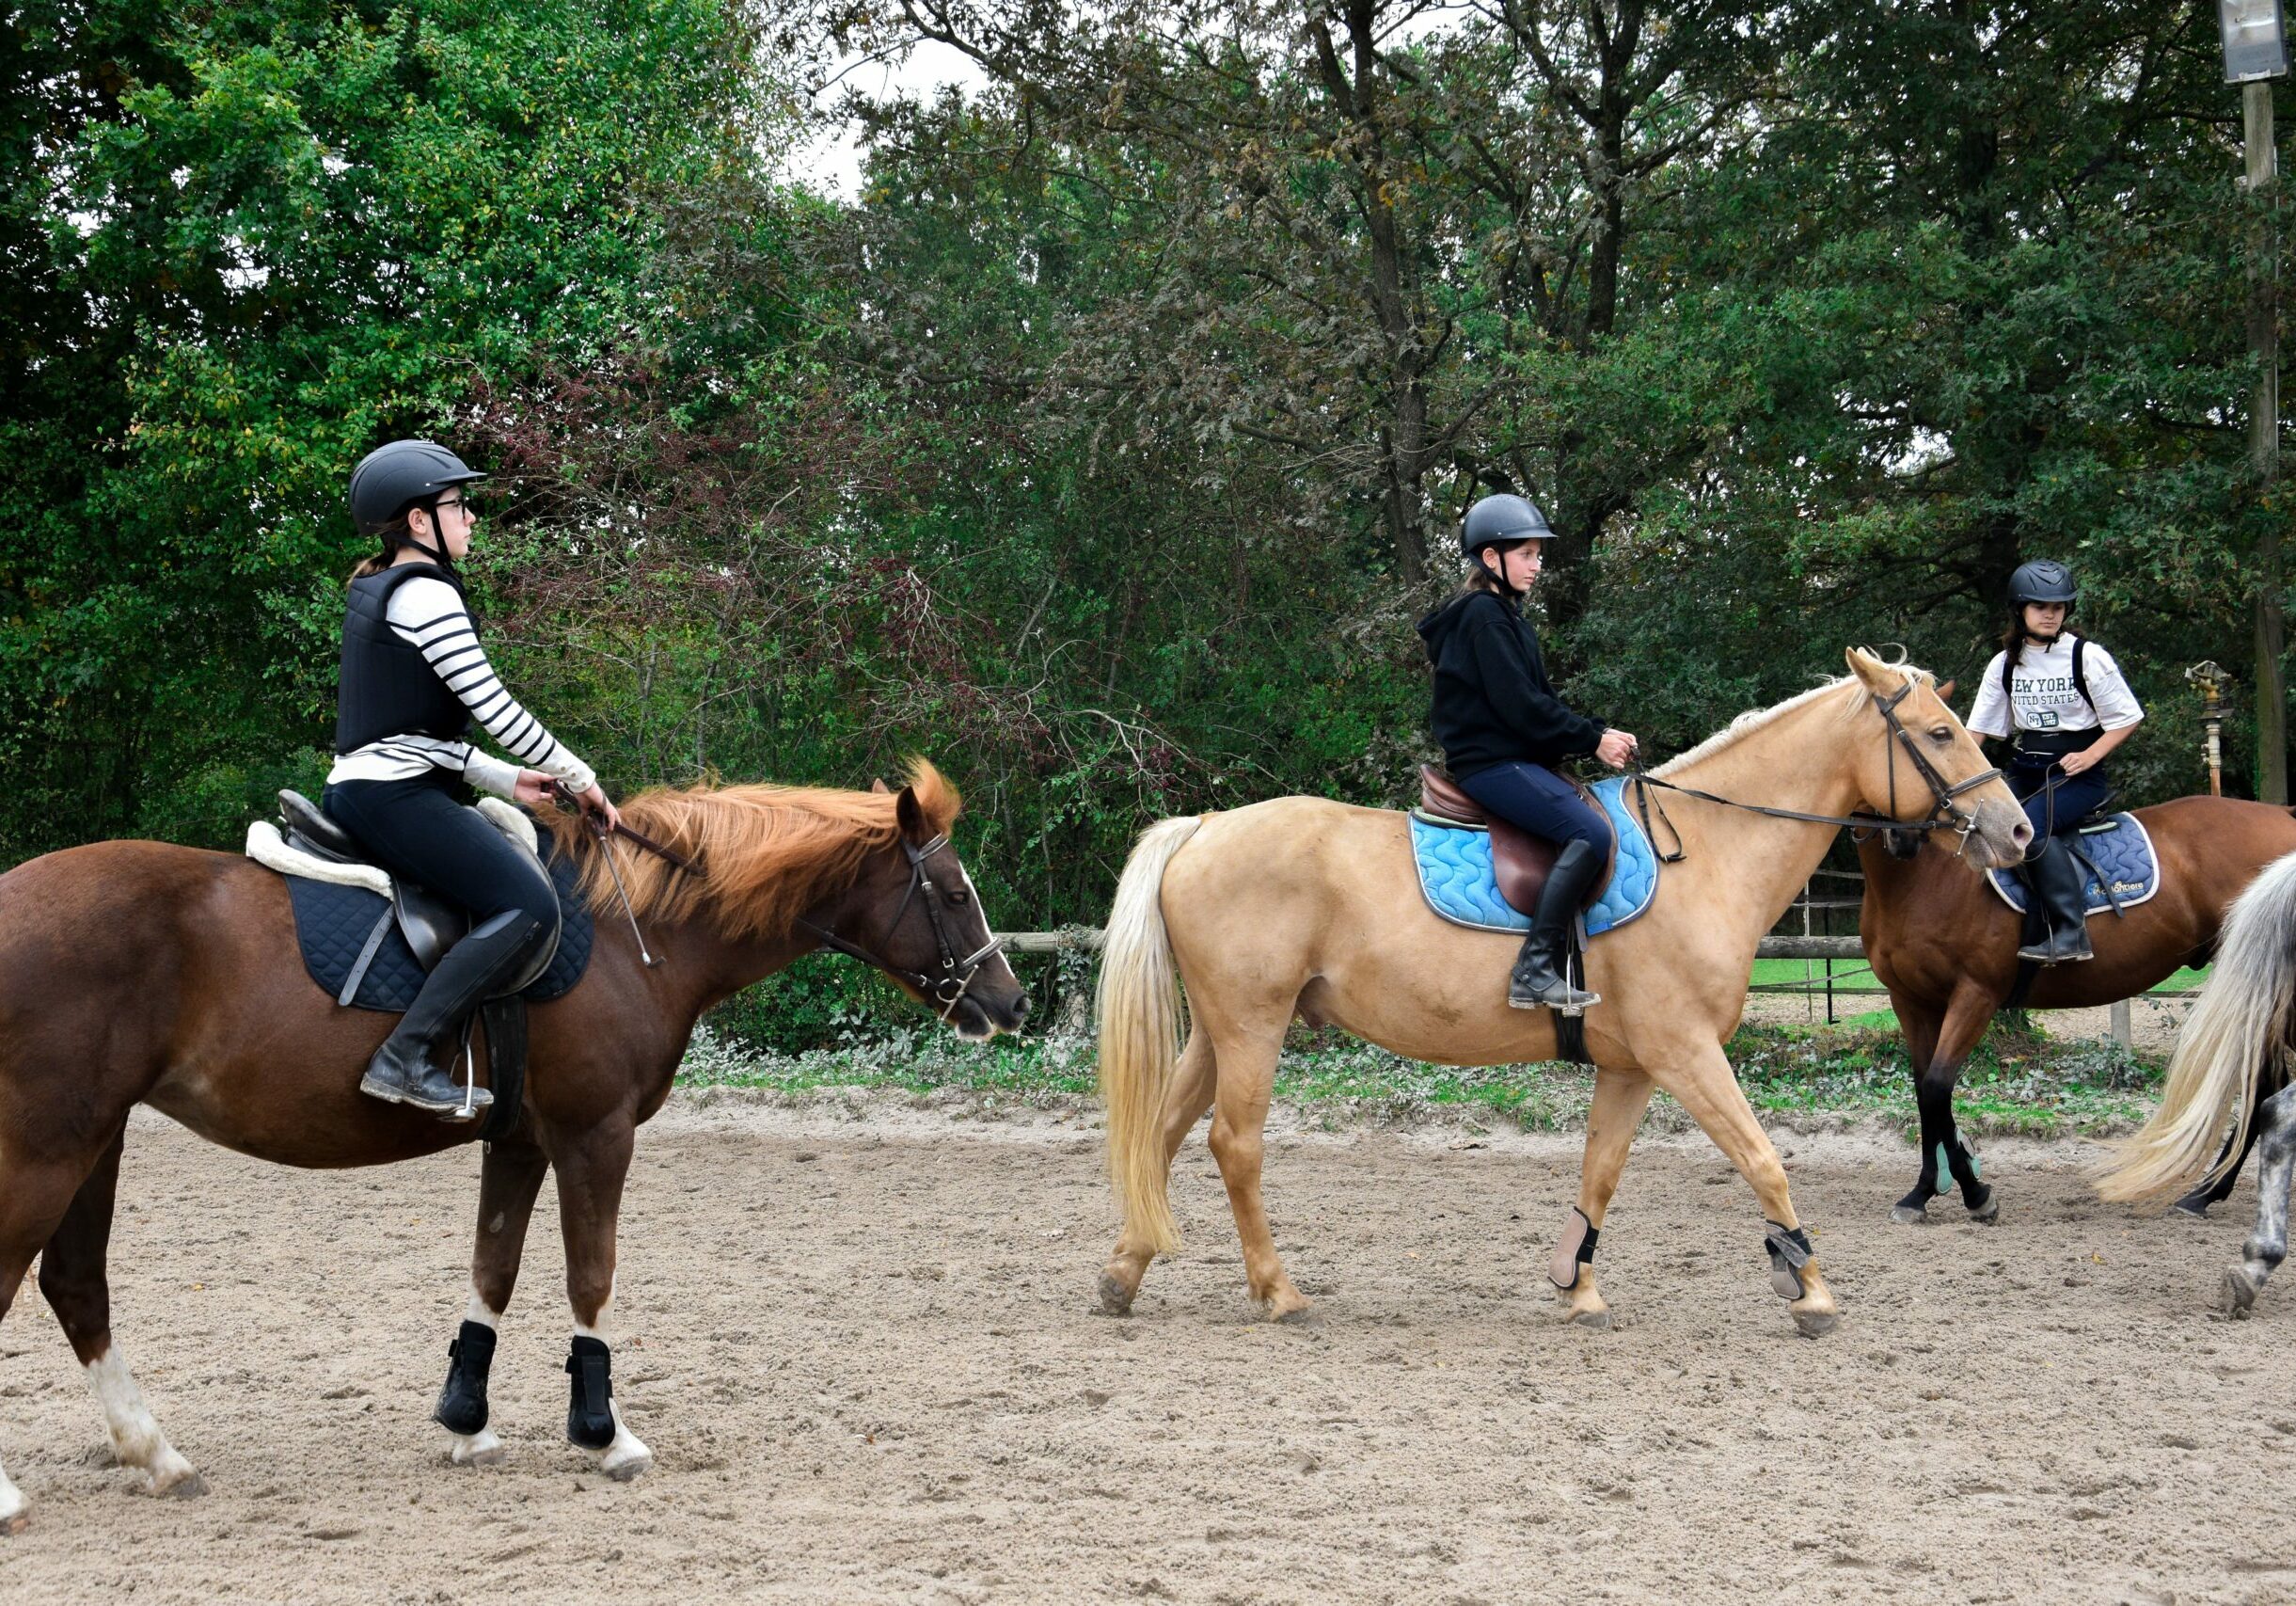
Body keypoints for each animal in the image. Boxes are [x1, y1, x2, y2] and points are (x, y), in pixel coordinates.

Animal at [0, 757, 1023, 1534]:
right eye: (952, 891)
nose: (1008, 1003)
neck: (632, 932)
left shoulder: (523, 1142)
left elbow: (492, 1269)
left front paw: (466, 1423)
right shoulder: (593, 1135)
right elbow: (589, 1277)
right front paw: (605, 1433)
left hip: (96, 1139)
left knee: (76, 1287)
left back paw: (156, 1454)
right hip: (49, 1148)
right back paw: (18, 1493)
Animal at [1092, 647, 2029, 1342]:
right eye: (1939, 732)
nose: (2016, 831)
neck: (1708, 851)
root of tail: (1204, 828)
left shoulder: (1633, 1066)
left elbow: (1600, 1170)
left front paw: (1575, 1285)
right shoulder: (1686, 1052)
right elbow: (1761, 1156)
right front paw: (1807, 1282)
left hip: (1219, 1030)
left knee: (1162, 1133)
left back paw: (1122, 1273)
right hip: (1252, 1026)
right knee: (1234, 1145)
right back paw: (1276, 1290)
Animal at [1855, 799, 2296, 1222]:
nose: (1902, 838)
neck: (1924, 877)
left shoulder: (1974, 995)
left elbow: (1936, 1087)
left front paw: (1974, 1193)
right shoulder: (1910, 1001)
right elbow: (1926, 1094)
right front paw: (1924, 1192)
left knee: (2265, 1088)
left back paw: (2208, 1191)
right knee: (2268, 1087)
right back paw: (2208, 1192)